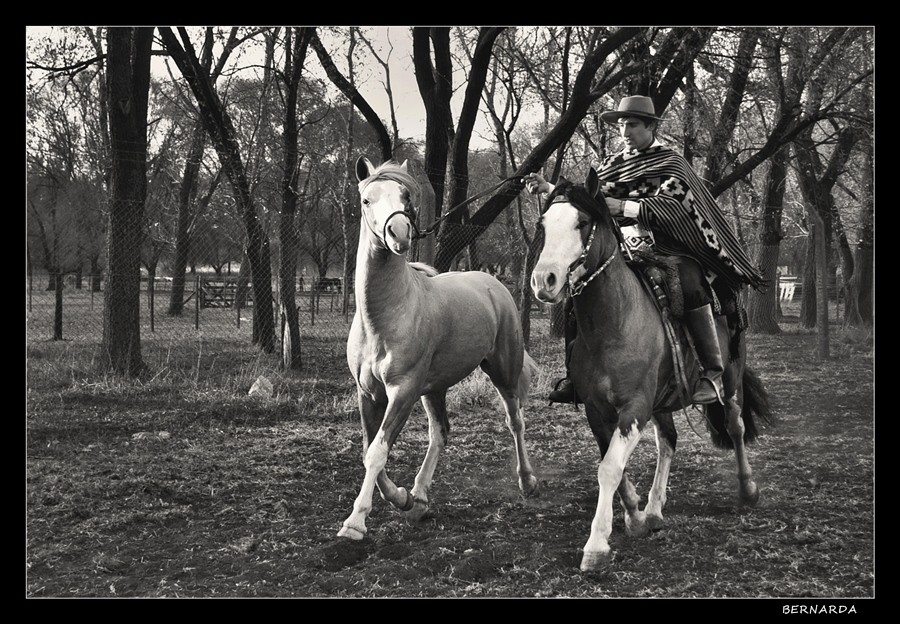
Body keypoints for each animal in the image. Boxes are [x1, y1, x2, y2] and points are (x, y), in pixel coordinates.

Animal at [336, 157, 536, 540]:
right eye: (366, 200)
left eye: (405, 196)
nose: (399, 234)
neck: (385, 318)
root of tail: (493, 285)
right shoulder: (368, 393)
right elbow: (370, 450)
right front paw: (401, 497)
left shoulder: (403, 391)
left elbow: (378, 451)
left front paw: (355, 522)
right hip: (435, 387)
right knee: (440, 432)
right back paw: (419, 498)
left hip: (502, 370)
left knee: (515, 420)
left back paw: (527, 481)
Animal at [532, 168, 768, 572]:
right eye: (543, 223)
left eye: (582, 222)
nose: (544, 280)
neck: (614, 321)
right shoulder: (597, 409)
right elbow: (613, 464)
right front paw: (636, 517)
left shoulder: (635, 407)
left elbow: (609, 468)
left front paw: (597, 545)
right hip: (663, 399)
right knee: (669, 441)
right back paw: (655, 510)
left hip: (731, 380)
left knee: (735, 427)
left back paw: (748, 488)